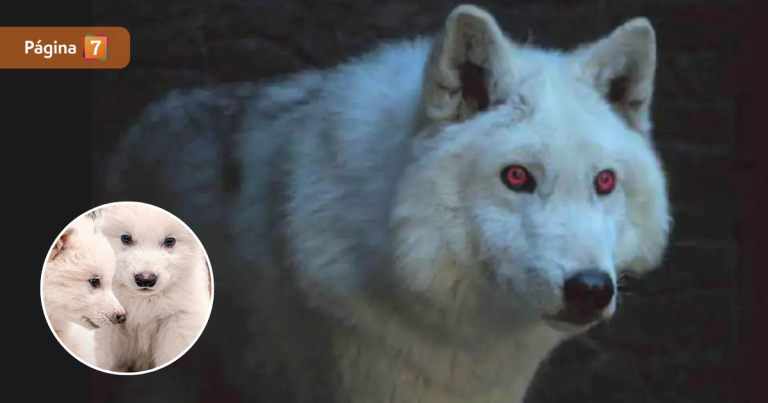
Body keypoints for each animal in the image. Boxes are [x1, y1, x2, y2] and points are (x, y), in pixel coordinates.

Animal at [93, 203, 212, 372]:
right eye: (126, 238)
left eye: (170, 241)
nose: (145, 279)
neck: (143, 301)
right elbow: (102, 356)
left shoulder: (179, 320)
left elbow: (169, 354)